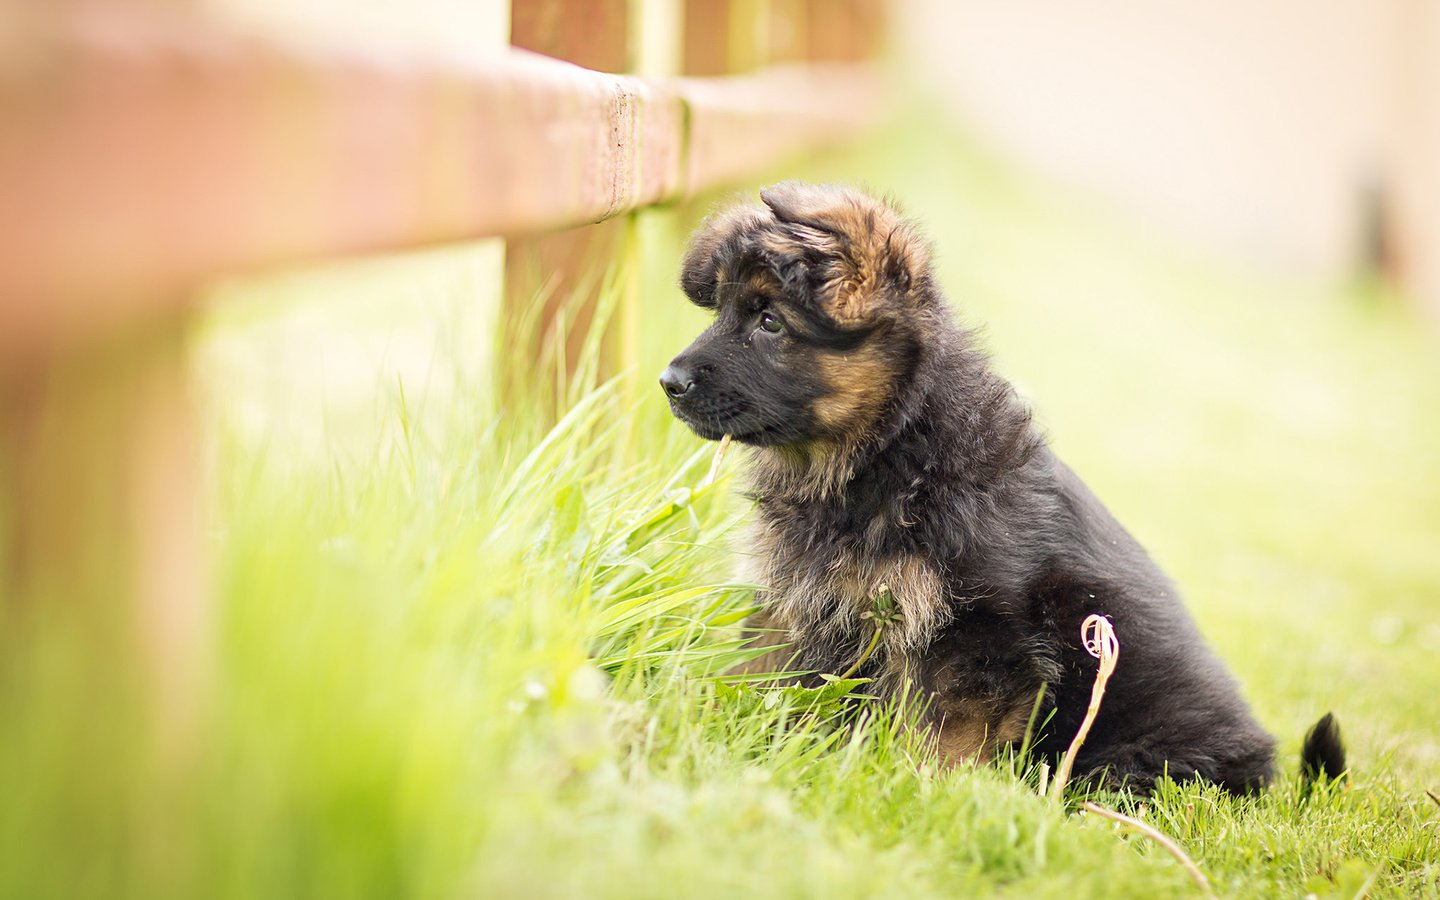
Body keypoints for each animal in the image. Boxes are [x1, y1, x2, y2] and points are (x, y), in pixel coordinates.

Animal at [659, 182, 1342, 794]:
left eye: (770, 322)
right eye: (723, 311)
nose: (669, 382)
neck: (897, 446)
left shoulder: (975, 638)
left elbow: (938, 740)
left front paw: (916, 794)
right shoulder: (798, 602)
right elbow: (764, 678)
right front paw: (734, 734)